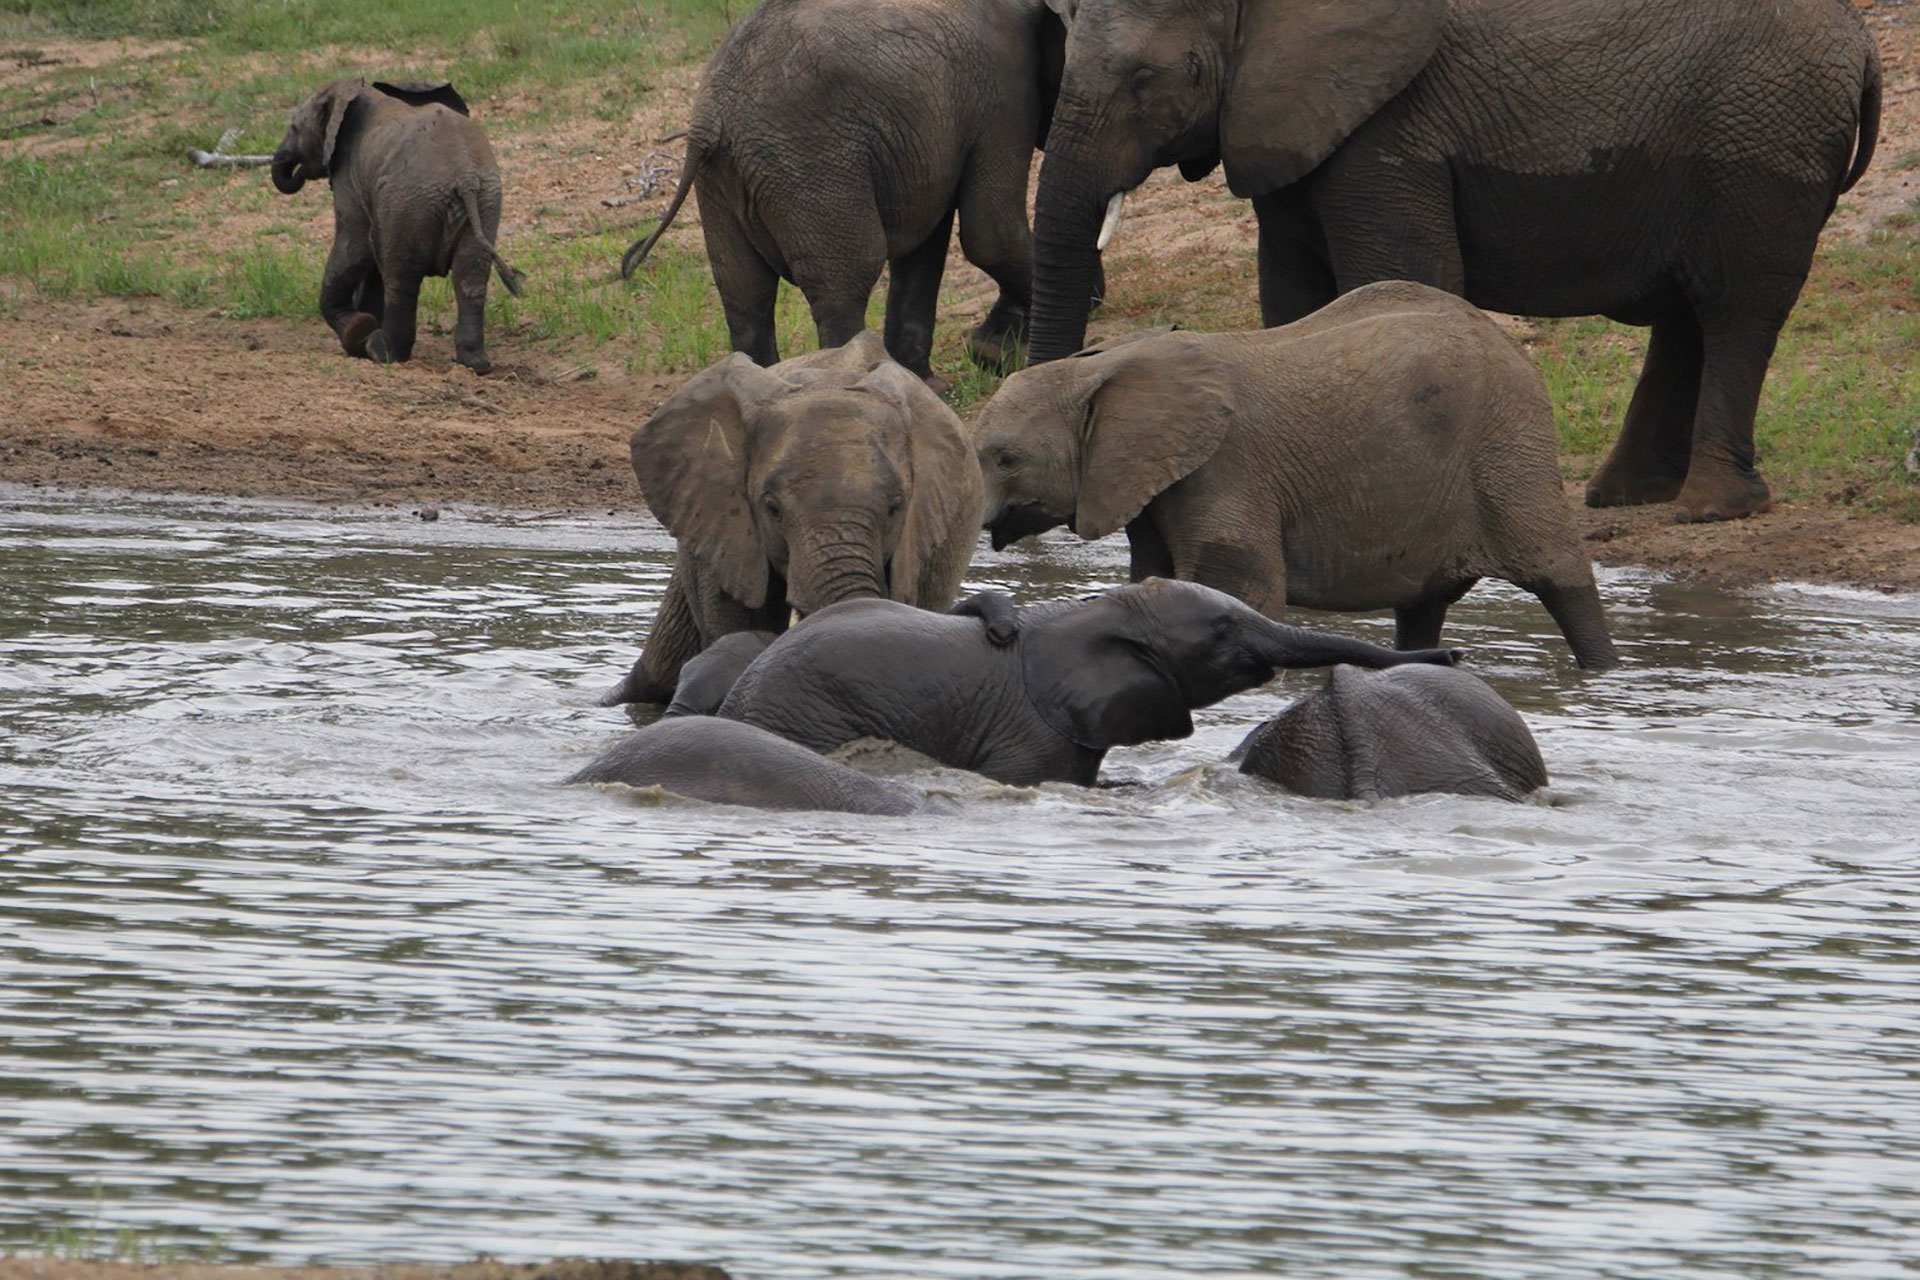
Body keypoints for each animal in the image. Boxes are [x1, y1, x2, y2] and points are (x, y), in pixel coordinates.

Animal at [270, 78, 523, 374]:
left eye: (294, 128)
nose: (296, 170)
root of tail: (466, 179)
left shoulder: (350, 180)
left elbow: (355, 247)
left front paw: (358, 333)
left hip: (409, 201)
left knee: (400, 277)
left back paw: (383, 352)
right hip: (485, 202)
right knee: (470, 277)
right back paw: (475, 363)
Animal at [619, 0, 1077, 384]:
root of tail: (710, 119)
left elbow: (924, 247)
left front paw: (933, 385)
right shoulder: (1004, 96)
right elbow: (991, 235)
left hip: (722, 183)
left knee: (745, 293)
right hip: (811, 163)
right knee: (845, 280)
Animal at [974, 283, 1619, 669]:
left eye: (1005, 459)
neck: (1103, 365)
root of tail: (1509, 343)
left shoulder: (1225, 471)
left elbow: (1240, 588)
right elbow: (1153, 578)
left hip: (1509, 446)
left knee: (1558, 573)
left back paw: (1600, 674)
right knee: (1421, 608)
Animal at [1022, 0, 1882, 523]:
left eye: (1156, 78)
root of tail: (1866, 43)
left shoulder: (1393, 129)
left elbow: (1402, 277)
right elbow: (1293, 297)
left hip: (1763, 145)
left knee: (1736, 310)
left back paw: (1707, 508)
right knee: (1686, 317)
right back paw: (1620, 498)